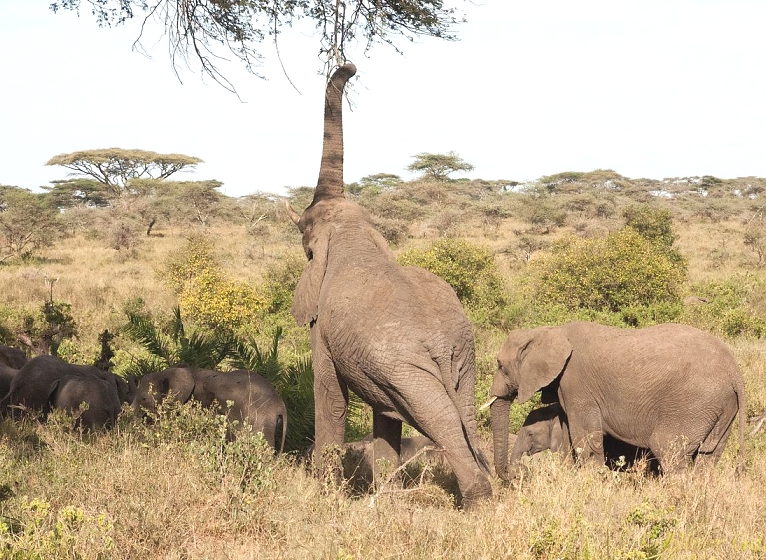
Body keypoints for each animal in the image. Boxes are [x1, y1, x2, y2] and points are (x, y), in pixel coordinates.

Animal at [285, 63, 491, 507]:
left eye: (306, 244)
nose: (349, 66)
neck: (352, 233)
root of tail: (441, 343)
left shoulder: (323, 332)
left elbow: (330, 398)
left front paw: (327, 497)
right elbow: (385, 417)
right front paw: (388, 497)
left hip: (408, 370)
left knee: (442, 419)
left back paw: (480, 502)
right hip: (458, 361)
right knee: (462, 414)